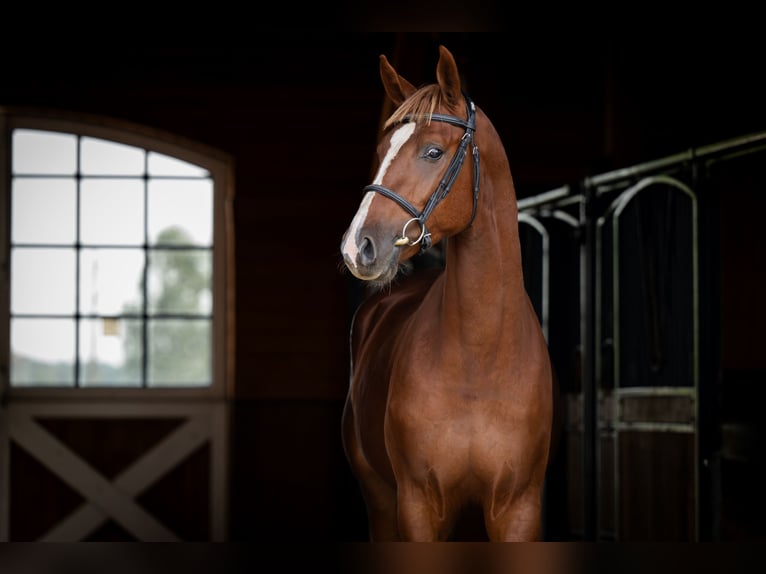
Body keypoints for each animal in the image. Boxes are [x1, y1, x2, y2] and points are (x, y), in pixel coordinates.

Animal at [339, 45, 556, 541]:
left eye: (433, 152)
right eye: (381, 151)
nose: (357, 246)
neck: (480, 359)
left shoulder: (519, 507)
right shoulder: (418, 505)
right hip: (379, 500)